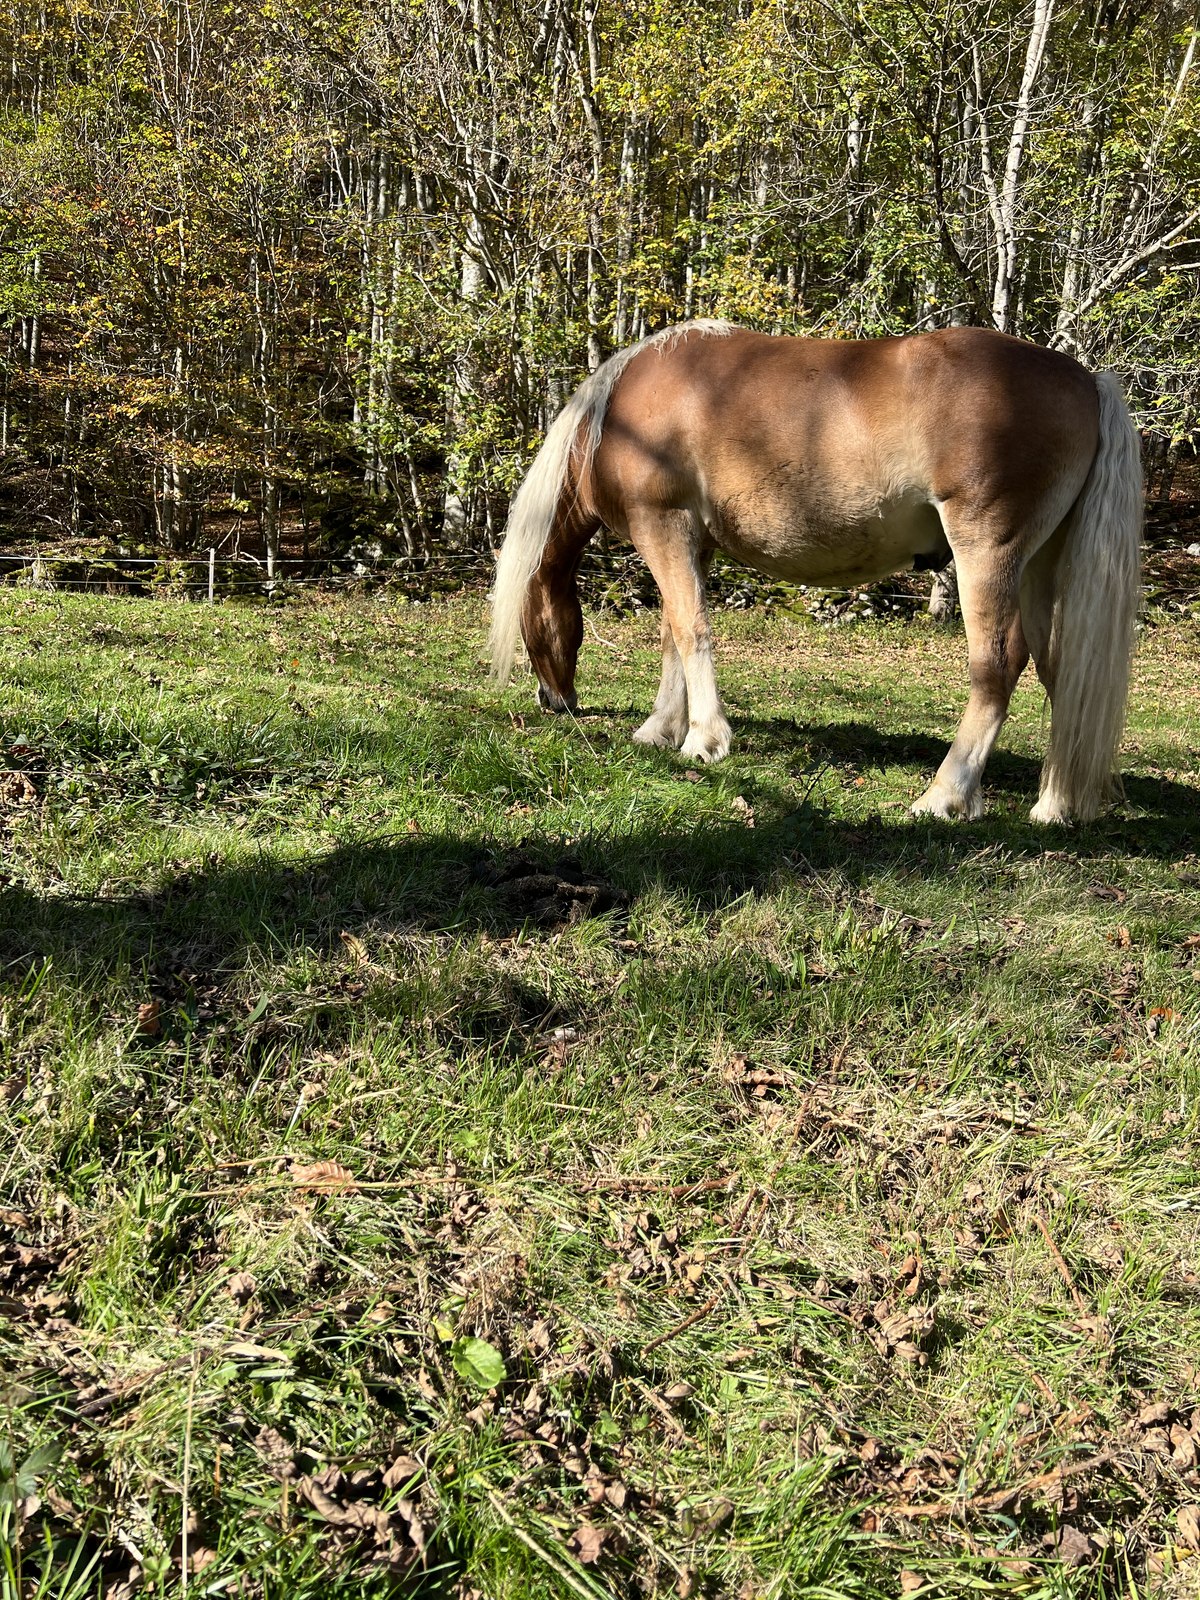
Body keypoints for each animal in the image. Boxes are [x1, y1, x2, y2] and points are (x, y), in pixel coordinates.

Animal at [490, 321, 1142, 823]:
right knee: (1061, 667)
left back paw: (945, 795)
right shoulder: (692, 545)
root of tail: (1087, 382)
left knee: (999, 664)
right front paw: (661, 729)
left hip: (987, 552)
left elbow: (691, 631)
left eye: (527, 623)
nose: (554, 702)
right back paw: (1056, 805)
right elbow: (675, 633)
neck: (624, 408)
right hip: (1039, 565)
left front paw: (703, 740)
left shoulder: (665, 528)